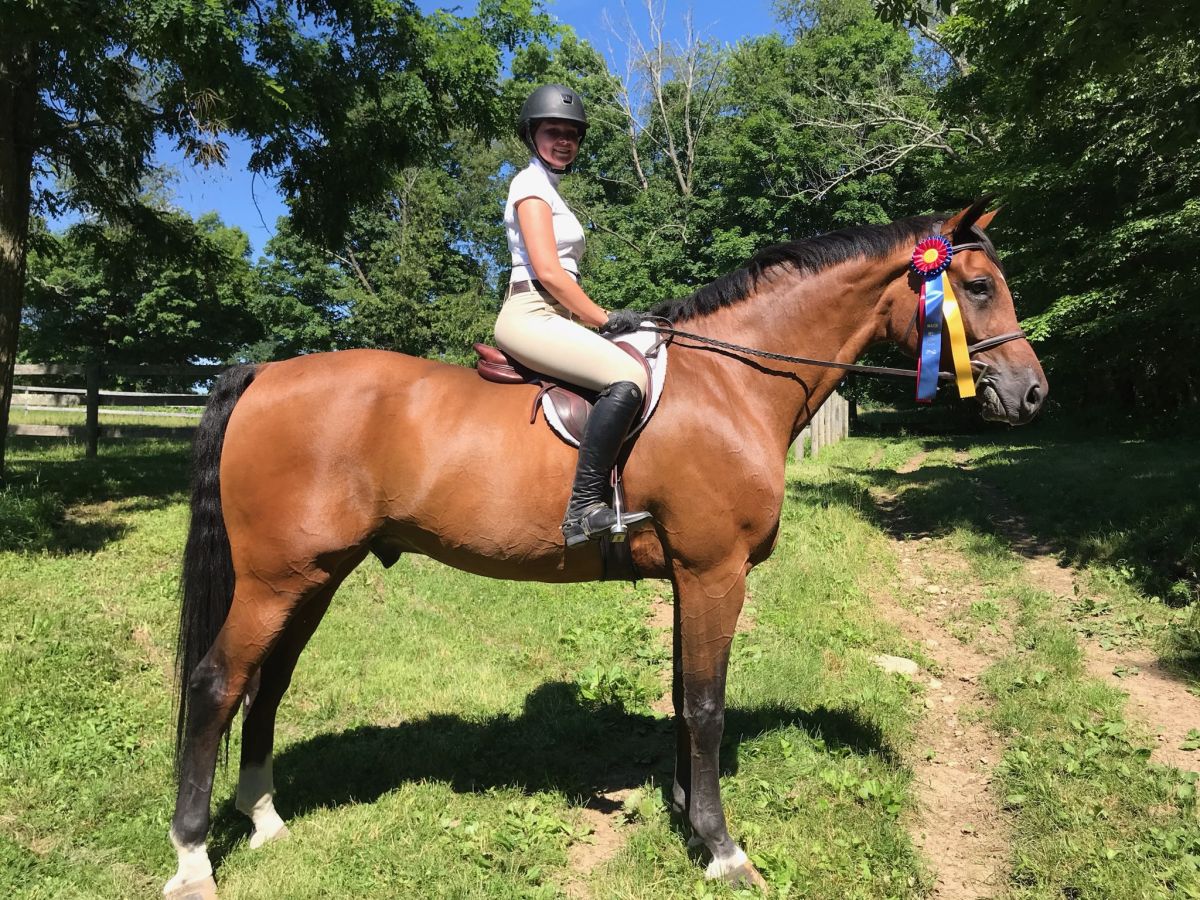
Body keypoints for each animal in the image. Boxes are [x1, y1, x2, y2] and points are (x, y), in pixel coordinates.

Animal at [164, 200, 1046, 897]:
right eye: (975, 287)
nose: (1032, 393)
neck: (731, 384)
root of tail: (264, 374)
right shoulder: (715, 572)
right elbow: (706, 706)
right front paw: (724, 851)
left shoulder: (690, 576)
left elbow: (683, 700)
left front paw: (688, 818)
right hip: (275, 578)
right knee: (214, 685)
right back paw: (193, 859)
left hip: (315, 575)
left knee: (268, 683)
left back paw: (266, 819)